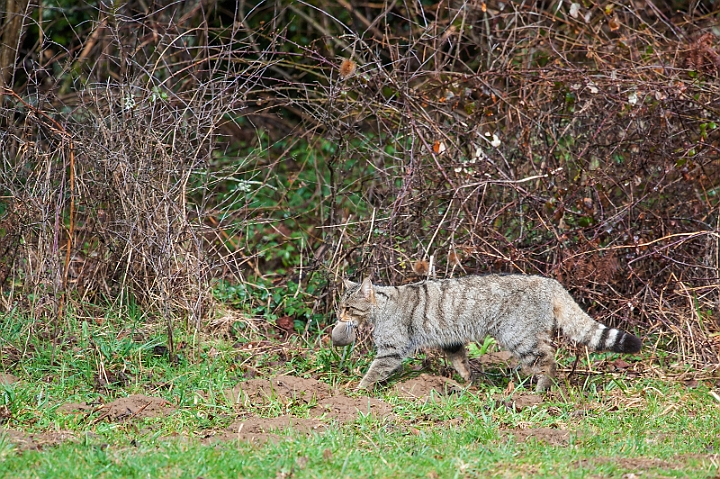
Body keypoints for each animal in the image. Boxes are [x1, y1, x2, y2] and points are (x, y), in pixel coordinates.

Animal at [332, 276, 640, 392]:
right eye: (340, 306)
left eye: (348, 307)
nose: (338, 318)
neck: (381, 308)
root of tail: (548, 281)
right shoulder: (451, 341)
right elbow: (460, 361)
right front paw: (468, 382)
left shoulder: (391, 349)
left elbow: (373, 371)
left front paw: (357, 391)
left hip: (519, 336)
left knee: (548, 358)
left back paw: (538, 391)